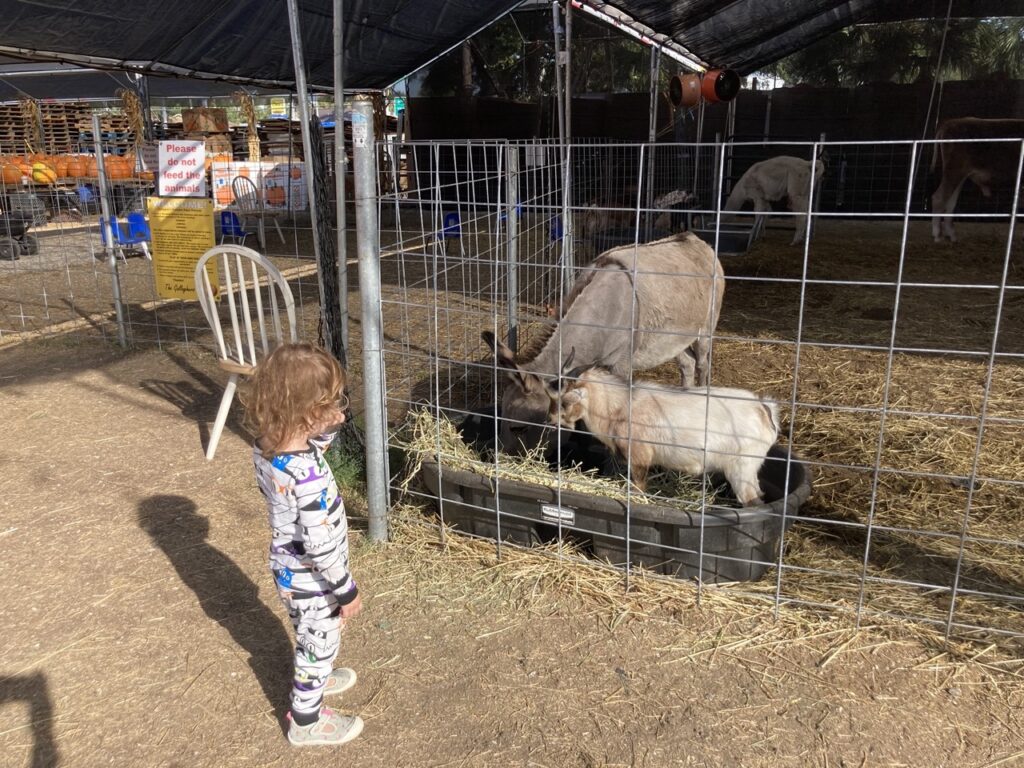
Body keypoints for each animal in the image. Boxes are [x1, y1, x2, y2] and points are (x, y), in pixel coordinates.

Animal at [552, 364, 774, 505]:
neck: (620, 407)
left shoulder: (639, 459)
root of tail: (763, 409)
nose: (552, 421)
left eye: (564, 401)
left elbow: (639, 488)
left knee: (752, 500)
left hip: (741, 469)